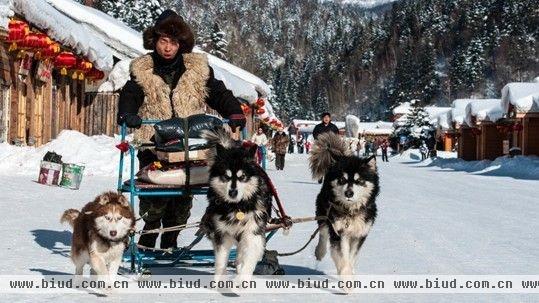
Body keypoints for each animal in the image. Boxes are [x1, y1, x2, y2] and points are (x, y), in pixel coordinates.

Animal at [201, 129, 272, 282]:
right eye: (226, 176)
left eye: (242, 176)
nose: (233, 192)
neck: (238, 207)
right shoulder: (222, 234)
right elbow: (220, 262)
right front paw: (219, 282)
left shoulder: (253, 233)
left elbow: (248, 261)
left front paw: (240, 281)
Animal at [308, 134, 380, 280]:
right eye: (342, 179)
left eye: (359, 181)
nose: (349, 193)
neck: (350, 211)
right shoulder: (339, 233)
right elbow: (343, 257)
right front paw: (346, 278)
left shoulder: (359, 234)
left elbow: (351, 258)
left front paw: (350, 272)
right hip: (324, 213)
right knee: (323, 232)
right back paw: (320, 251)